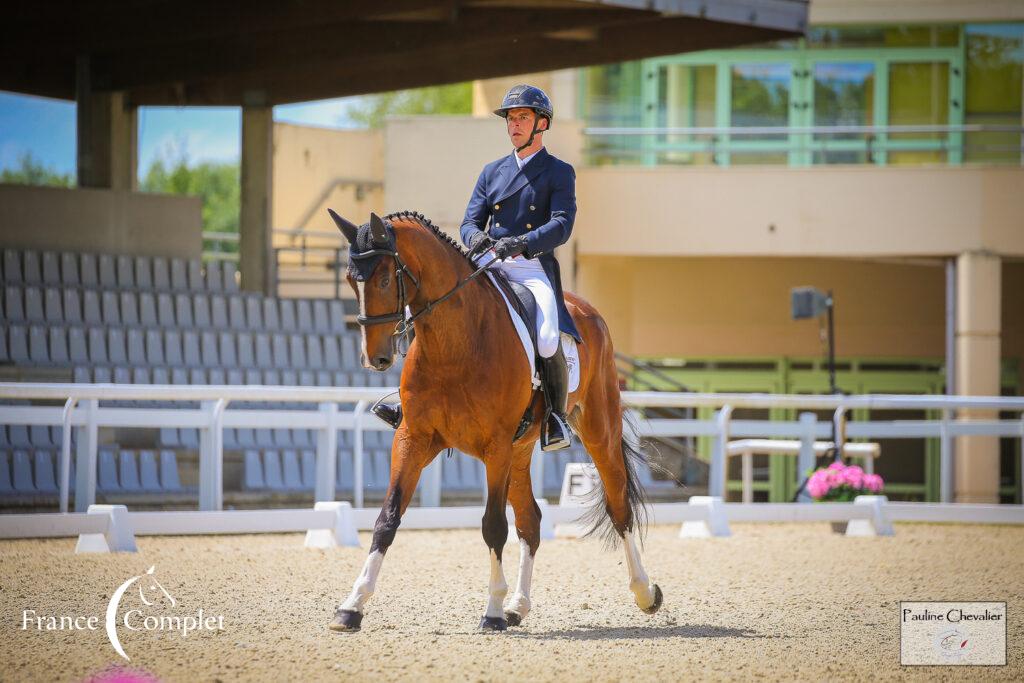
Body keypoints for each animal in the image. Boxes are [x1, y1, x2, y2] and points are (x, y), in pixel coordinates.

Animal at [327, 209, 663, 634]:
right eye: (350, 279)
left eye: (385, 278)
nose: (375, 358)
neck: (455, 343)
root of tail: (586, 310)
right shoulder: (413, 437)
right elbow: (387, 518)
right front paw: (351, 606)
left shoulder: (495, 446)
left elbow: (492, 526)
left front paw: (491, 612)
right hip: (521, 450)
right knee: (531, 522)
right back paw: (518, 605)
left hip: (597, 431)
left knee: (619, 508)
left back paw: (645, 593)